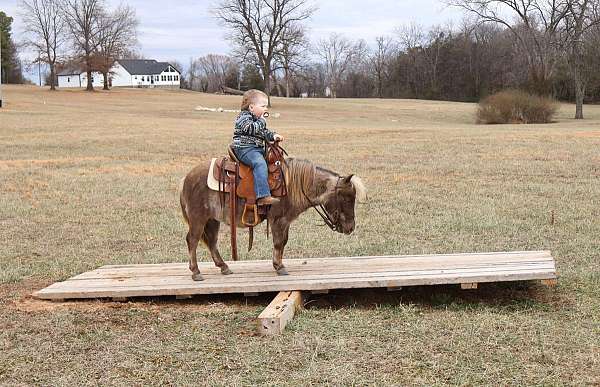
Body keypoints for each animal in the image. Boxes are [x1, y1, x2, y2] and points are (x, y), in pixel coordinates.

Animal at [177, 158, 366, 282]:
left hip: (212, 220)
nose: (350, 227)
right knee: (192, 240)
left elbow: (283, 242)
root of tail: (186, 178)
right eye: (347, 198)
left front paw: (279, 264)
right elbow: (278, 242)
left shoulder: (285, 221)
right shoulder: (278, 220)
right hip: (198, 218)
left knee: (211, 241)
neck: (292, 185)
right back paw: (196, 272)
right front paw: (279, 267)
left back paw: (224, 267)